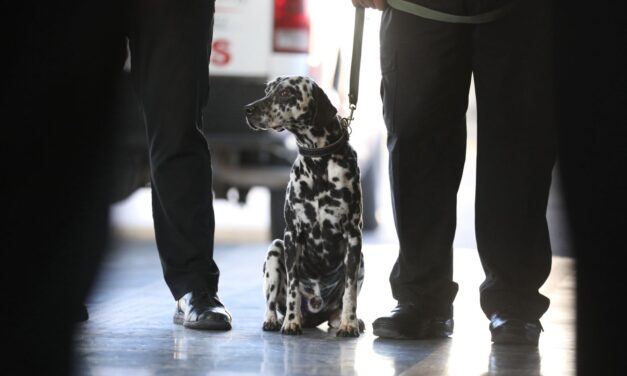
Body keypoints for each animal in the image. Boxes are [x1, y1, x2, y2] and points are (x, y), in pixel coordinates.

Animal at [244, 75, 366, 336]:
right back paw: (274, 319)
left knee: (342, 302)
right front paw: (291, 321)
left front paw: (349, 323)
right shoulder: (291, 235)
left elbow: (350, 291)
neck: (319, 163)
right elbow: (293, 287)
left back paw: (343, 319)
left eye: (286, 93)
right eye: (267, 90)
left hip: (360, 260)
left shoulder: (354, 236)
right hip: (275, 250)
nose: (248, 109)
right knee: (272, 303)